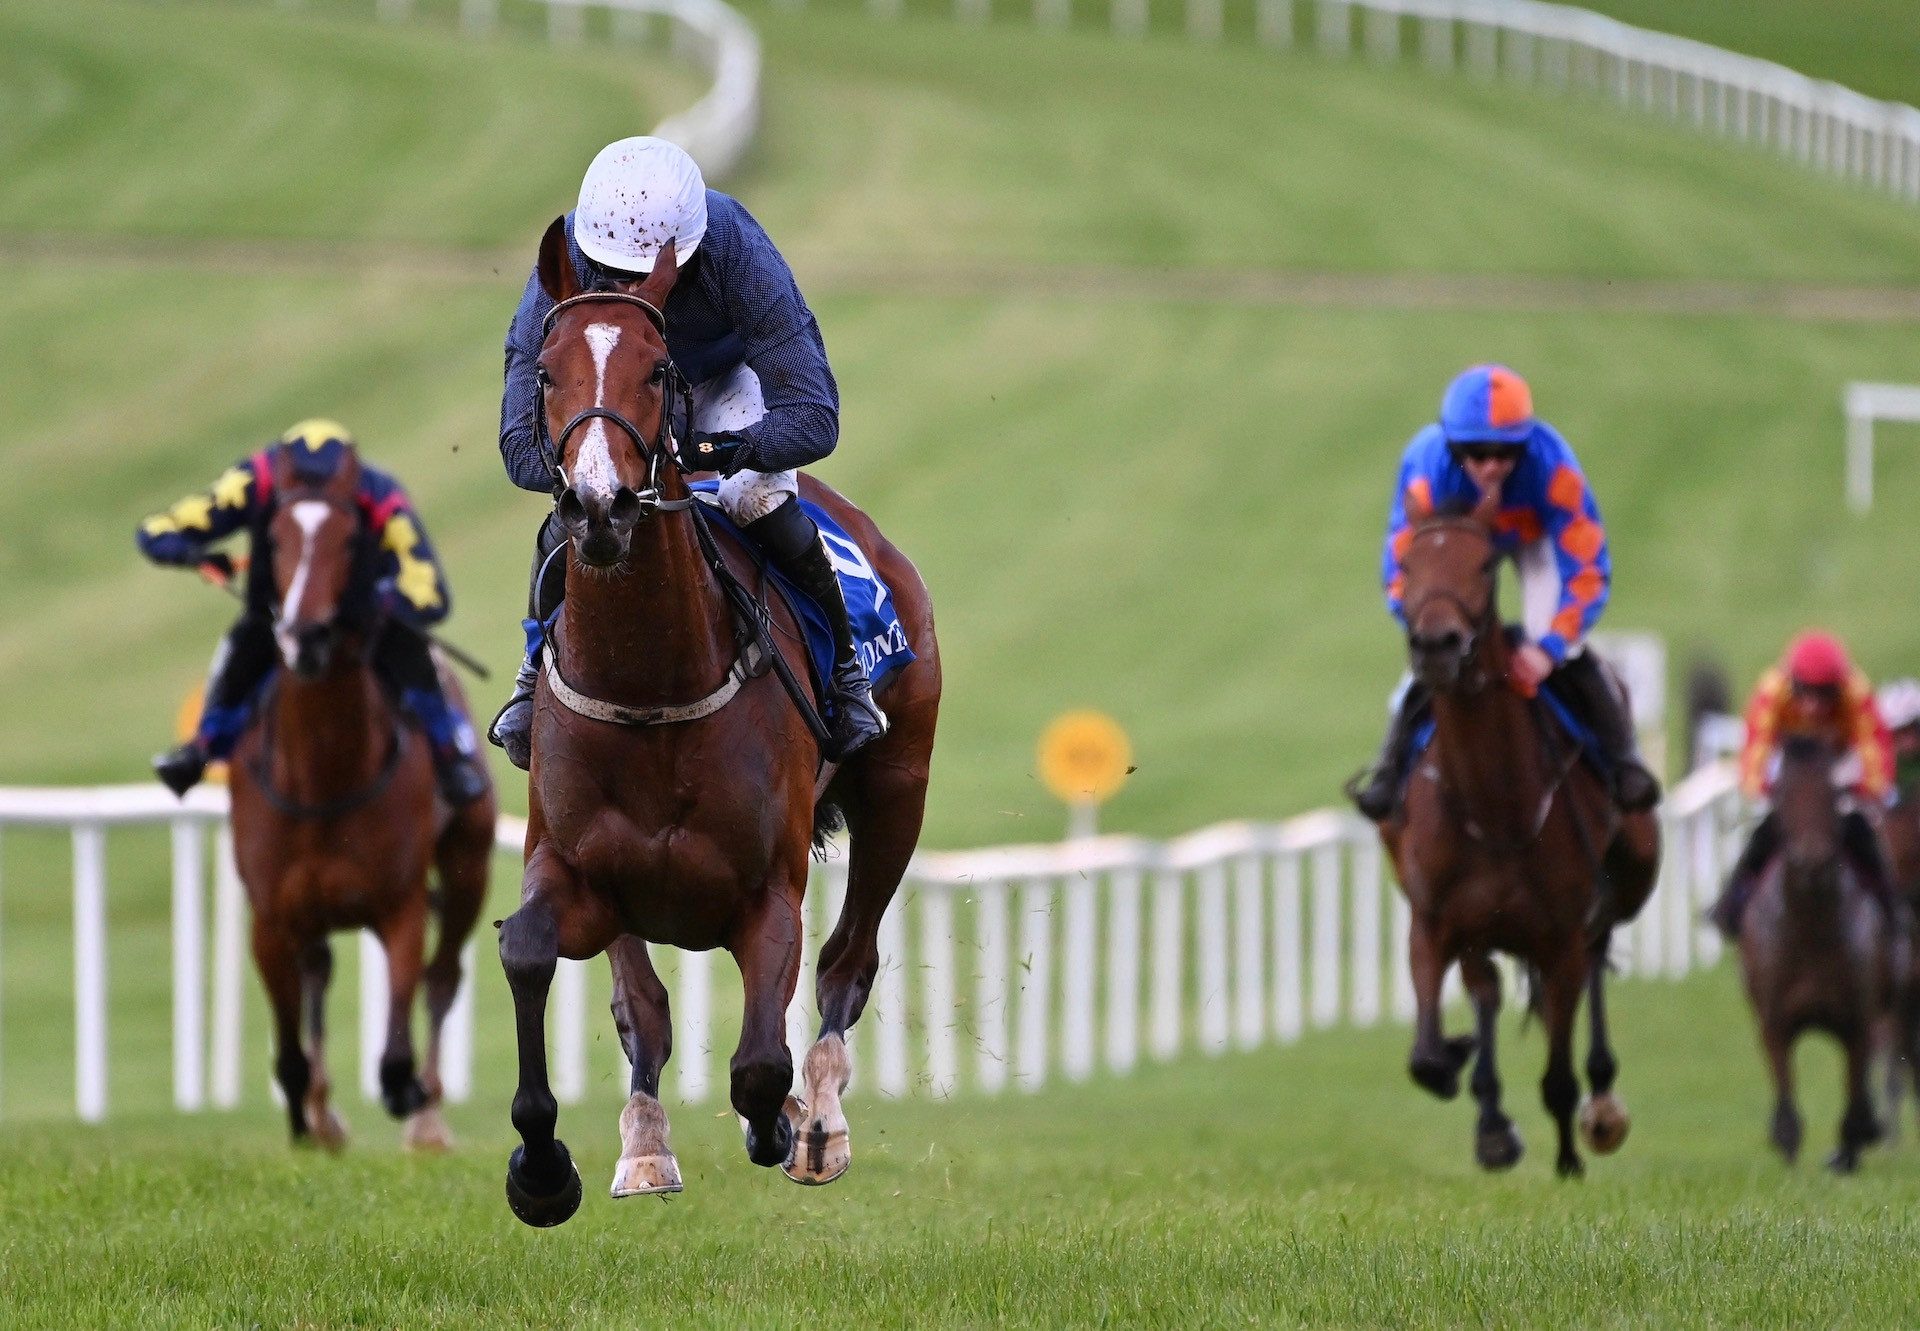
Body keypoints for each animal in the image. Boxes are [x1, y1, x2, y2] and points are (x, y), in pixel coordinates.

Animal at [229, 449, 499, 1152]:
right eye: (274, 539)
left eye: (350, 540)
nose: (306, 636)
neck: (325, 776)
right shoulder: (270, 917)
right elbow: (290, 1047)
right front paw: (308, 1120)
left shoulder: (399, 905)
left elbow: (398, 1044)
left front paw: (409, 1096)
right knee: (318, 974)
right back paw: (325, 1114)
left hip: (468, 863)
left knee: (443, 977)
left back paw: (428, 1119)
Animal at [499, 217, 940, 1221]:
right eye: (545, 370)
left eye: (658, 368)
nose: (597, 504)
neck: (652, 685)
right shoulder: (578, 870)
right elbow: (536, 956)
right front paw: (544, 1167)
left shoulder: (765, 893)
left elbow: (758, 1062)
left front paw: (779, 1123)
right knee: (643, 1009)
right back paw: (645, 1143)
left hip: (900, 791)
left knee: (847, 962)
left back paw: (819, 1125)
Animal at [1382, 495, 1666, 1175]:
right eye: (1406, 563)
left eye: (1486, 565)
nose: (1436, 645)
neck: (1496, 806)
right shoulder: (1435, 922)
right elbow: (1427, 1056)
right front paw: (1465, 1076)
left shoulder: (1559, 937)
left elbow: (1558, 1075)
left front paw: (1569, 1158)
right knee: (1487, 992)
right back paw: (1490, 1114)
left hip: (1620, 886)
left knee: (1595, 965)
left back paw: (1601, 1102)